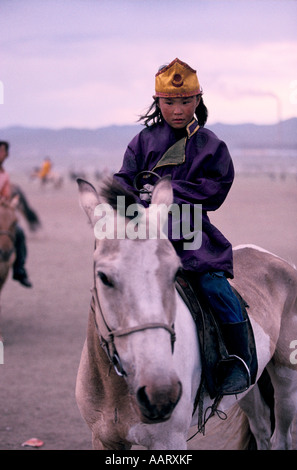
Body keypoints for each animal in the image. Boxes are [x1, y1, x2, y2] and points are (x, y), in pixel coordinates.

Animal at [75, 177, 296, 452]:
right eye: (104, 277)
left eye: (174, 272)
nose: (159, 394)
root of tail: (275, 259)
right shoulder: (104, 439)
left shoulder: (169, 441)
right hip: (248, 387)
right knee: (262, 430)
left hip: (287, 379)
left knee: (281, 437)